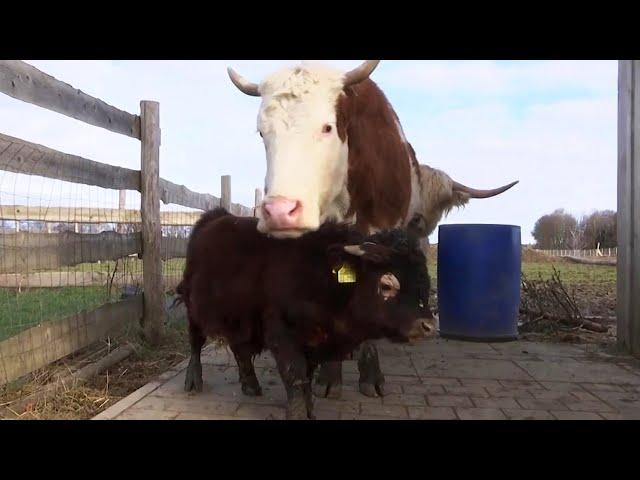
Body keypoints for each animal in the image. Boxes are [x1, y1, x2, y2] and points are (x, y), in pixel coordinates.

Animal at [175, 208, 430, 418]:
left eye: (426, 284)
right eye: (387, 284)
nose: (427, 325)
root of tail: (216, 216)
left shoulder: (312, 342)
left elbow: (306, 377)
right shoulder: (282, 335)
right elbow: (295, 376)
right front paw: (299, 413)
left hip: (240, 317)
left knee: (240, 350)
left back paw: (250, 385)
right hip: (193, 307)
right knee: (195, 342)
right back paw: (193, 380)